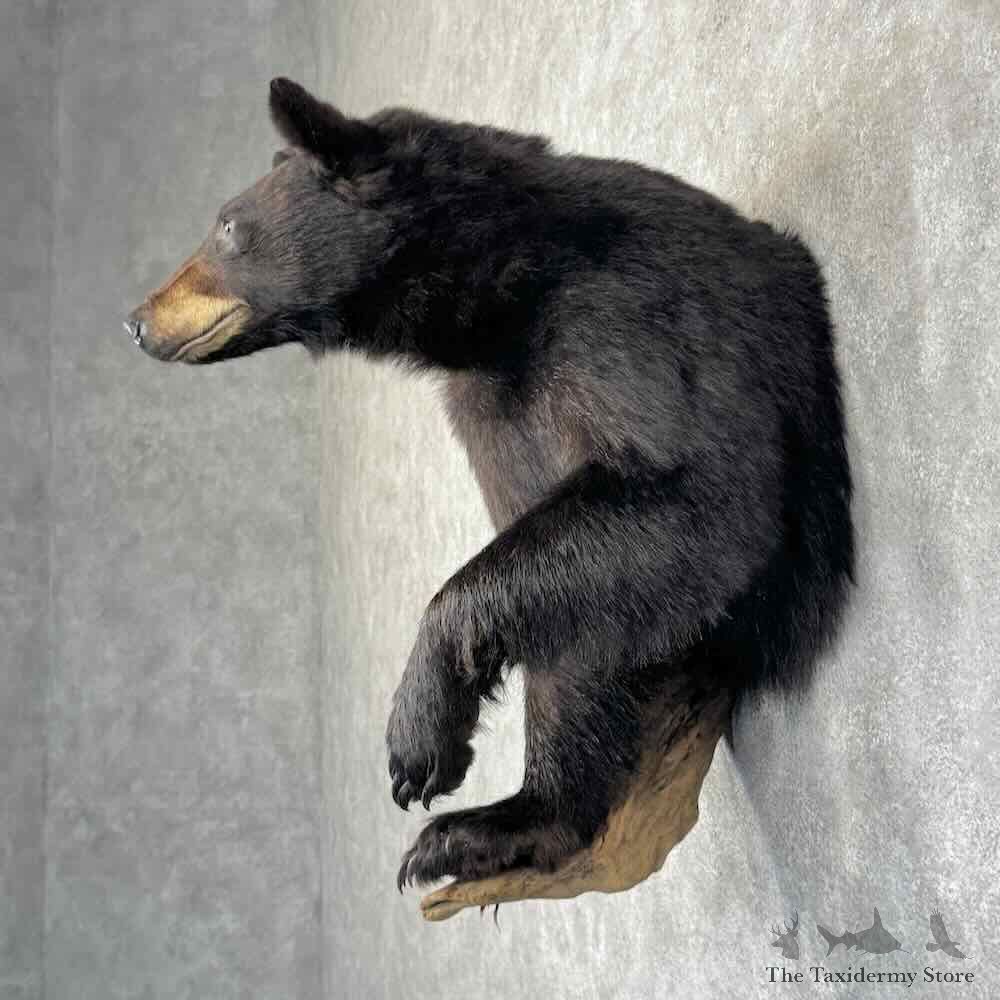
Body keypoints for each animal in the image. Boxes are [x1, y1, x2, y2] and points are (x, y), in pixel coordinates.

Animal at [127, 78, 854, 890]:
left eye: (227, 226)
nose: (137, 319)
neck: (499, 306)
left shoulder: (627, 321)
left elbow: (697, 500)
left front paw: (416, 738)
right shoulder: (488, 415)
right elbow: (571, 598)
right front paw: (511, 811)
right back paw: (491, 828)